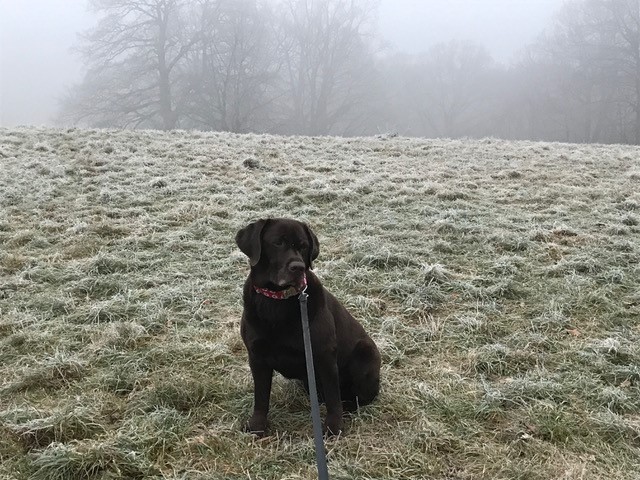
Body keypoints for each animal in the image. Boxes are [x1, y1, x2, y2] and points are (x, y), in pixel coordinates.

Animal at [238, 219, 382, 436]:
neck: (278, 301)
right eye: (277, 243)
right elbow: (261, 396)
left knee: (359, 397)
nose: (297, 267)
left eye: (304, 245)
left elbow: (333, 398)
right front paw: (257, 427)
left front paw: (333, 427)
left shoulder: (324, 355)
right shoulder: (256, 356)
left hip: (365, 353)